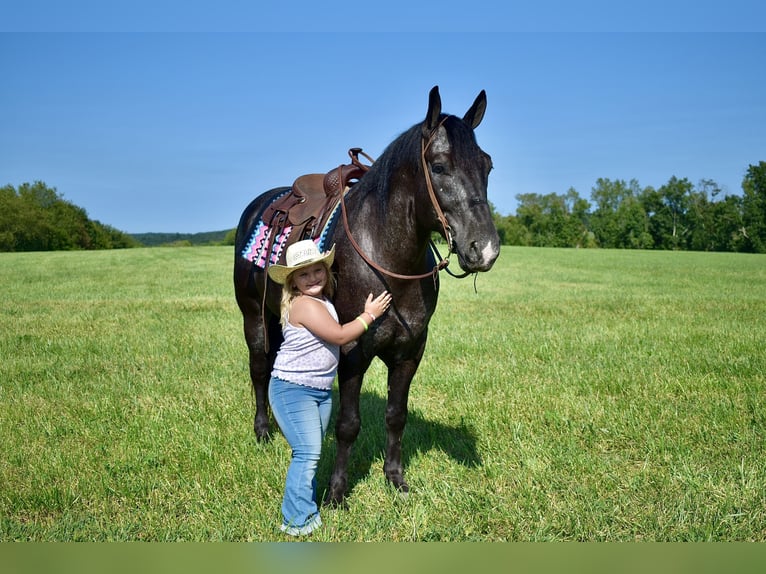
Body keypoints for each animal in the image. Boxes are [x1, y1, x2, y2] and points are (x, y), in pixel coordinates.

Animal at [231, 86, 500, 508]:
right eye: (439, 166)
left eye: (487, 166)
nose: (484, 249)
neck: (387, 260)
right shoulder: (352, 352)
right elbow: (348, 424)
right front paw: (336, 492)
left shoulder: (410, 352)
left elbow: (396, 415)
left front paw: (395, 478)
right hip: (253, 317)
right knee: (259, 368)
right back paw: (262, 431)